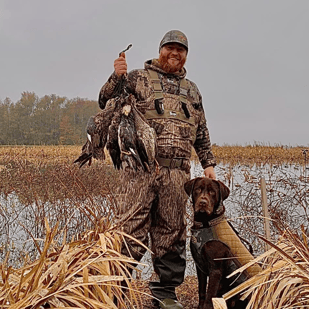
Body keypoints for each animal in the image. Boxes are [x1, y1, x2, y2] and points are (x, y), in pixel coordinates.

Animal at [184, 177, 249, 308]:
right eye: (198, 189)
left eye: (212, 192)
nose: (203, 203)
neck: (205, 224)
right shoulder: (200, 266)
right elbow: (202, 292)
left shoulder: (215, 270)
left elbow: (209, 297)